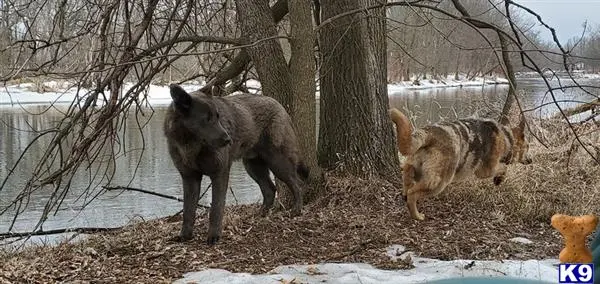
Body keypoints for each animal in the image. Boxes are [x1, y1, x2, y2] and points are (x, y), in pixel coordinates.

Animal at [163, 84, 310, 244]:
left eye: (217, 117)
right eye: (206, 119)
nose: (228, 140)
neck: (191, 146)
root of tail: (279, 106)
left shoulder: (220, 174)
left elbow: (216, 208)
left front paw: (214, 236)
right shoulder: (190, 178)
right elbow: (188, 210)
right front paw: (185, 236)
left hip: (277, 162)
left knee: (297, 184)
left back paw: (296, 210)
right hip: (253, 167)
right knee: (270, 189)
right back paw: (260, 214)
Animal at [390, 107, 536, 221]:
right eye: (528, 146)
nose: (531, 160)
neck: (507, 138)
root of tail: (429, 133)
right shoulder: (485, 171)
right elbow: (504, 168)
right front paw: (499, 179)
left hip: (414, 167)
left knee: (406, 179)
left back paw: (405, 194)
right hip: (438, 183)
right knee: (412, 193)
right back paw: (417, 215)